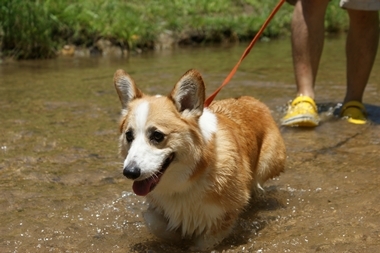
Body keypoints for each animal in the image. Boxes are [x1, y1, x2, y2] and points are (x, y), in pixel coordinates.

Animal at [113, 68, 284, 250]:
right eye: (129, 135)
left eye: (157, 136)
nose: (129, 172)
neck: (187, 179)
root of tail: (252, 100)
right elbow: (155, 222)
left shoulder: (224, 215)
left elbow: (205, 242)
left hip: (266, 166)